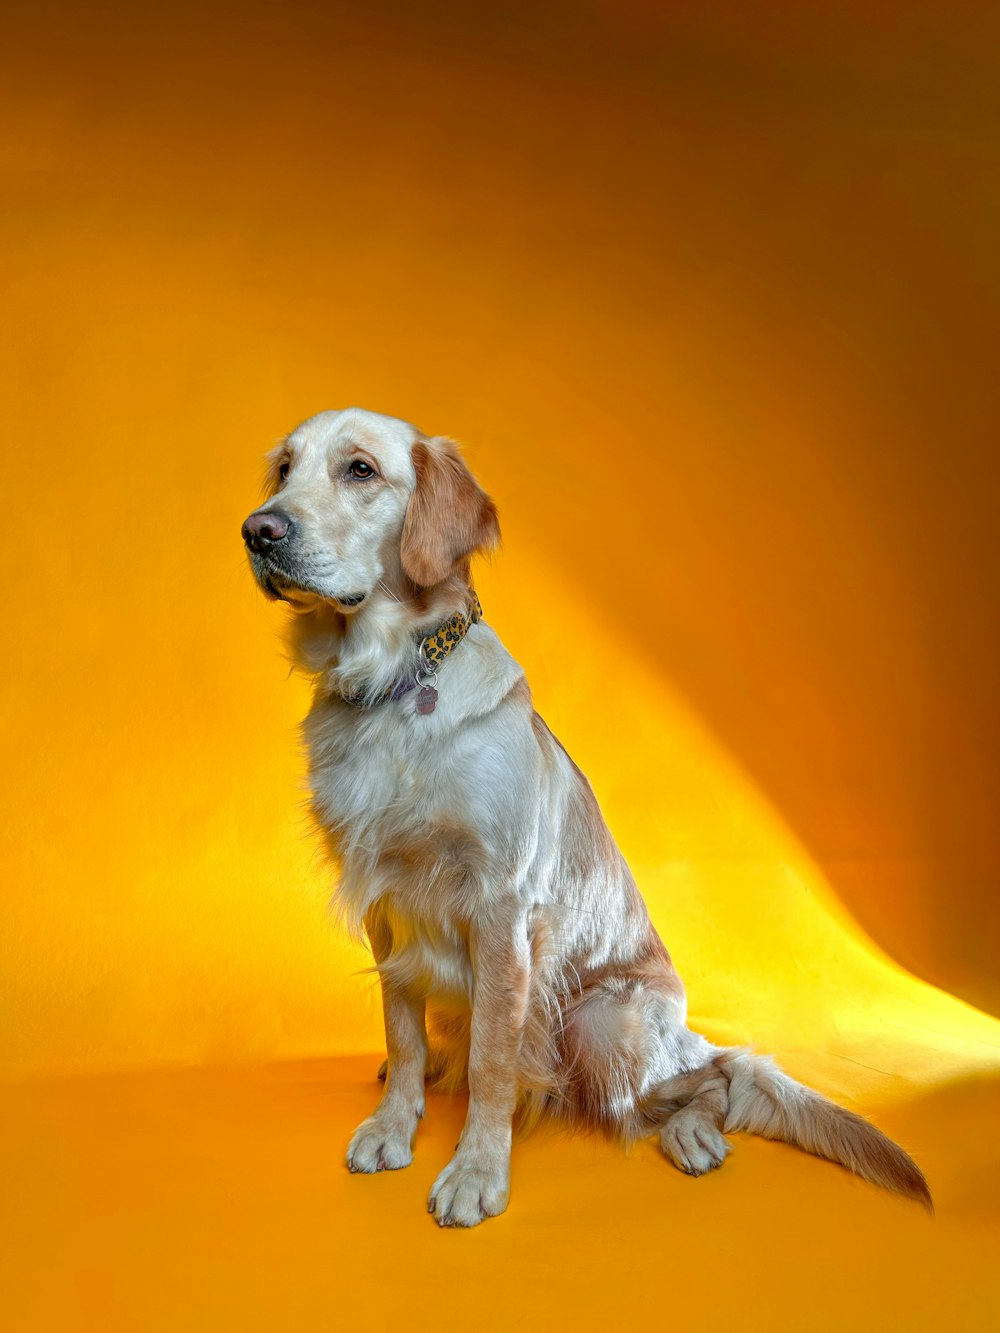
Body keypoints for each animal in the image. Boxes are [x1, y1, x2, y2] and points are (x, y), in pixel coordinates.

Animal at [242, 405, 933, 1226]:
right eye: (285, 468)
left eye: (360, 470)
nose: (258, 531)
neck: (396, 686)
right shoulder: (387, 901)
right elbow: (402, 1028)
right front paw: (393, 1123)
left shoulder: (502, 908)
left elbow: (494, 1061)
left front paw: (476, 1168)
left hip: (600, 1020)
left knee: (714, 1081)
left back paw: (693, 1131)